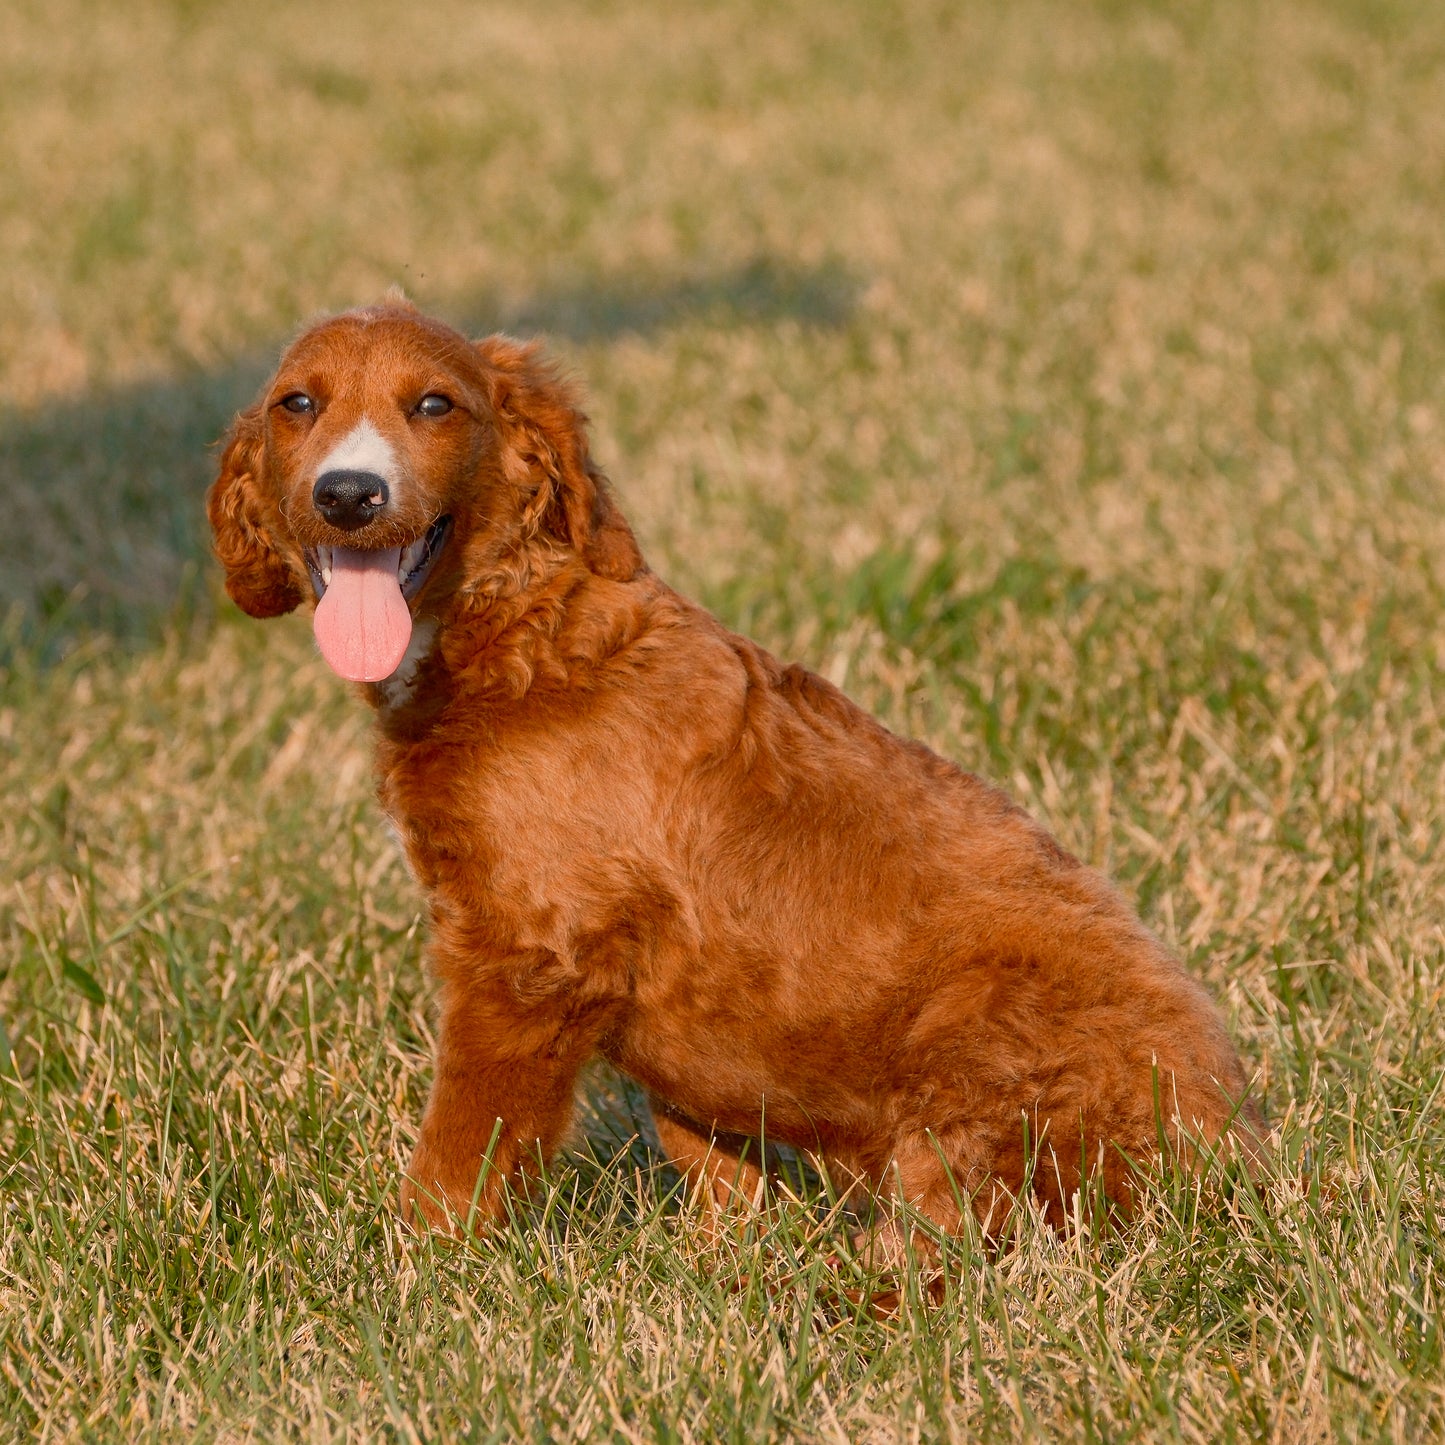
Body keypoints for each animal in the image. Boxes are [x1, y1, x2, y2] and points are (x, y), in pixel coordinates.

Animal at [209, 299, 1260, 1236]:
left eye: (434, 405)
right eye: (296, 404)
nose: (349, 494)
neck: (519, 634)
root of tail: (1237, 1147)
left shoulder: (526, 960)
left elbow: (462, 1146)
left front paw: (420, 1266)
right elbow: (708, 1153)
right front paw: (726, 1257)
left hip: (984, 1054)